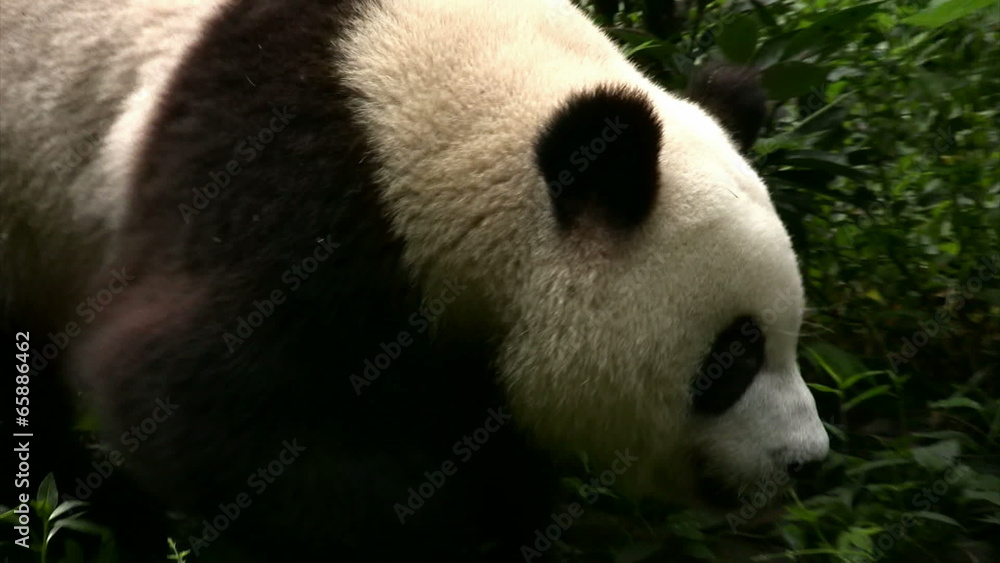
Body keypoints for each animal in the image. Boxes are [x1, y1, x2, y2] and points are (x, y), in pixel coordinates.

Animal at [0, 0, 828, 560]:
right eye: (735, 354)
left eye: (792, 335)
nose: (807, 461)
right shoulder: (283, 186)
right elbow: (186, 397)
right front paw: (453, 525)